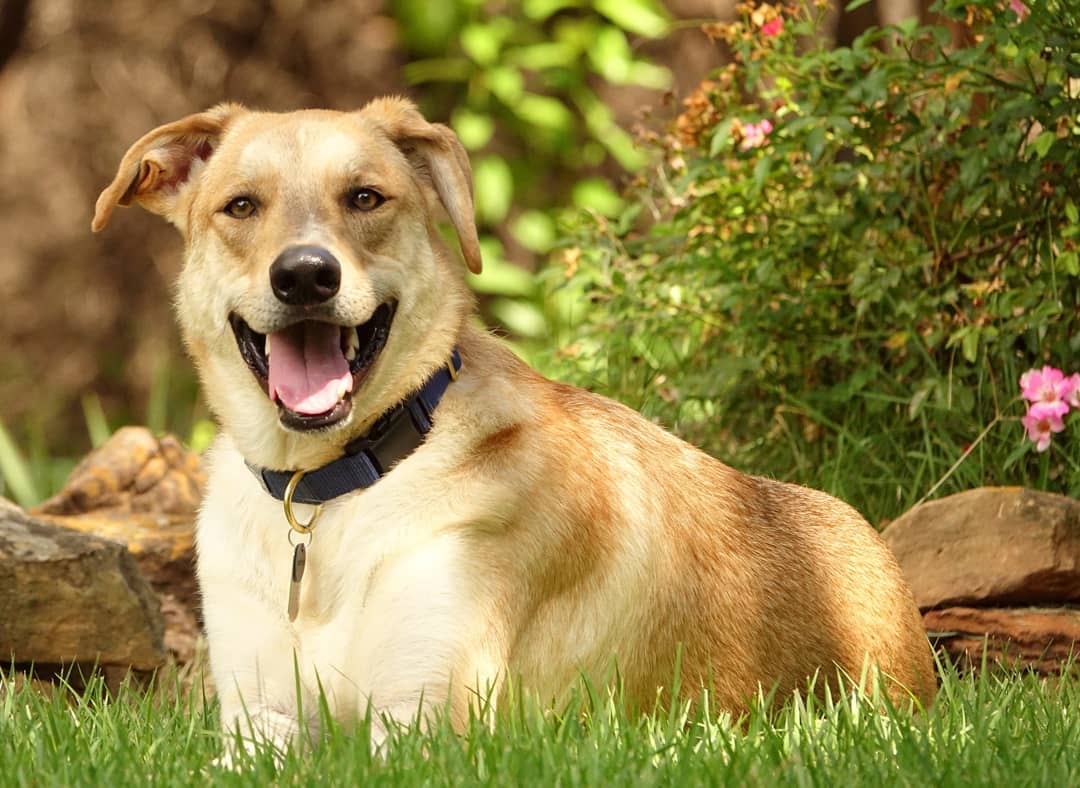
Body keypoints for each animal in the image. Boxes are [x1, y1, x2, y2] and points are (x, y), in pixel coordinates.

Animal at [92, 96, 937, 746]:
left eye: (365, 198)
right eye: (241, 206)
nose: (304, 276)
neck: (327, 491)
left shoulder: (424, 720)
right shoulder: (258, 718)